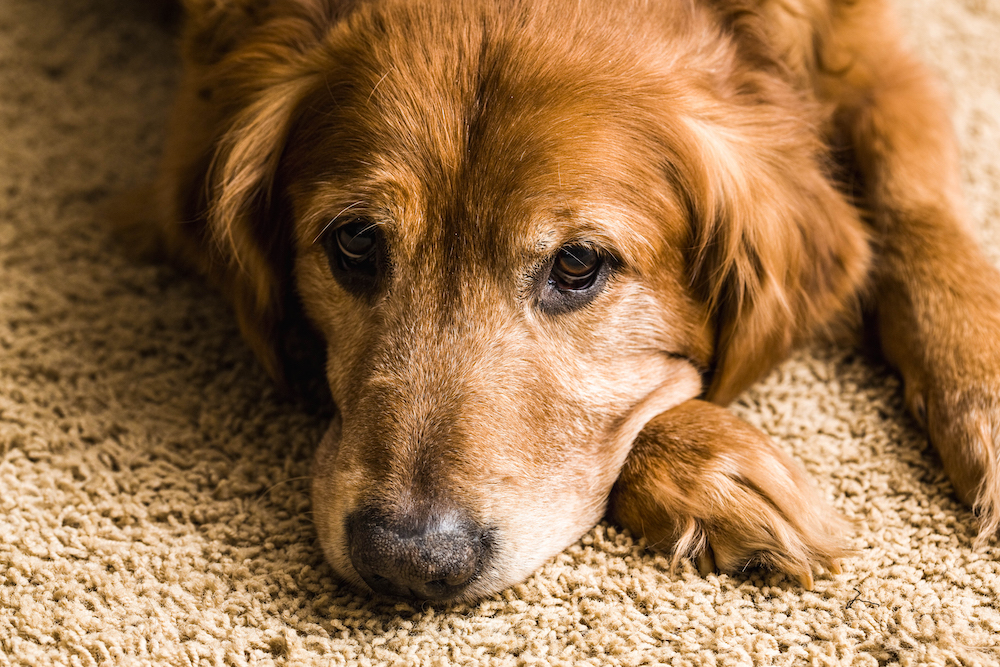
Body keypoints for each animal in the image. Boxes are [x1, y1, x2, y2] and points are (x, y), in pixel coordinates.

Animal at [145, 0, 1000, 604]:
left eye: (578, 263)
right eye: (354, 242)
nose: (410, 560)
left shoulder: (871, 52)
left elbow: (913, 200)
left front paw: (982, 386)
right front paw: (707, 463)